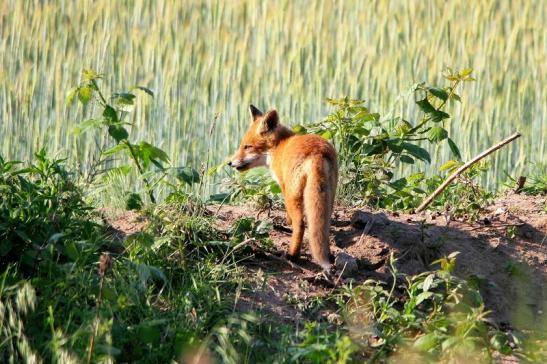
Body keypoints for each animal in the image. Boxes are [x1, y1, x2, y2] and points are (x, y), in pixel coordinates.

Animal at [228, 104, 338, 270]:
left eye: (247, 147)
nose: (230, 162)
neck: (279, 147)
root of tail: (317, 152)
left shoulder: (284, 186)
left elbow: (288, 214)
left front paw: (287, 223)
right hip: (329, 194)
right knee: (323, 224)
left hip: (294, 194)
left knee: (300, 224)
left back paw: (292, 255)